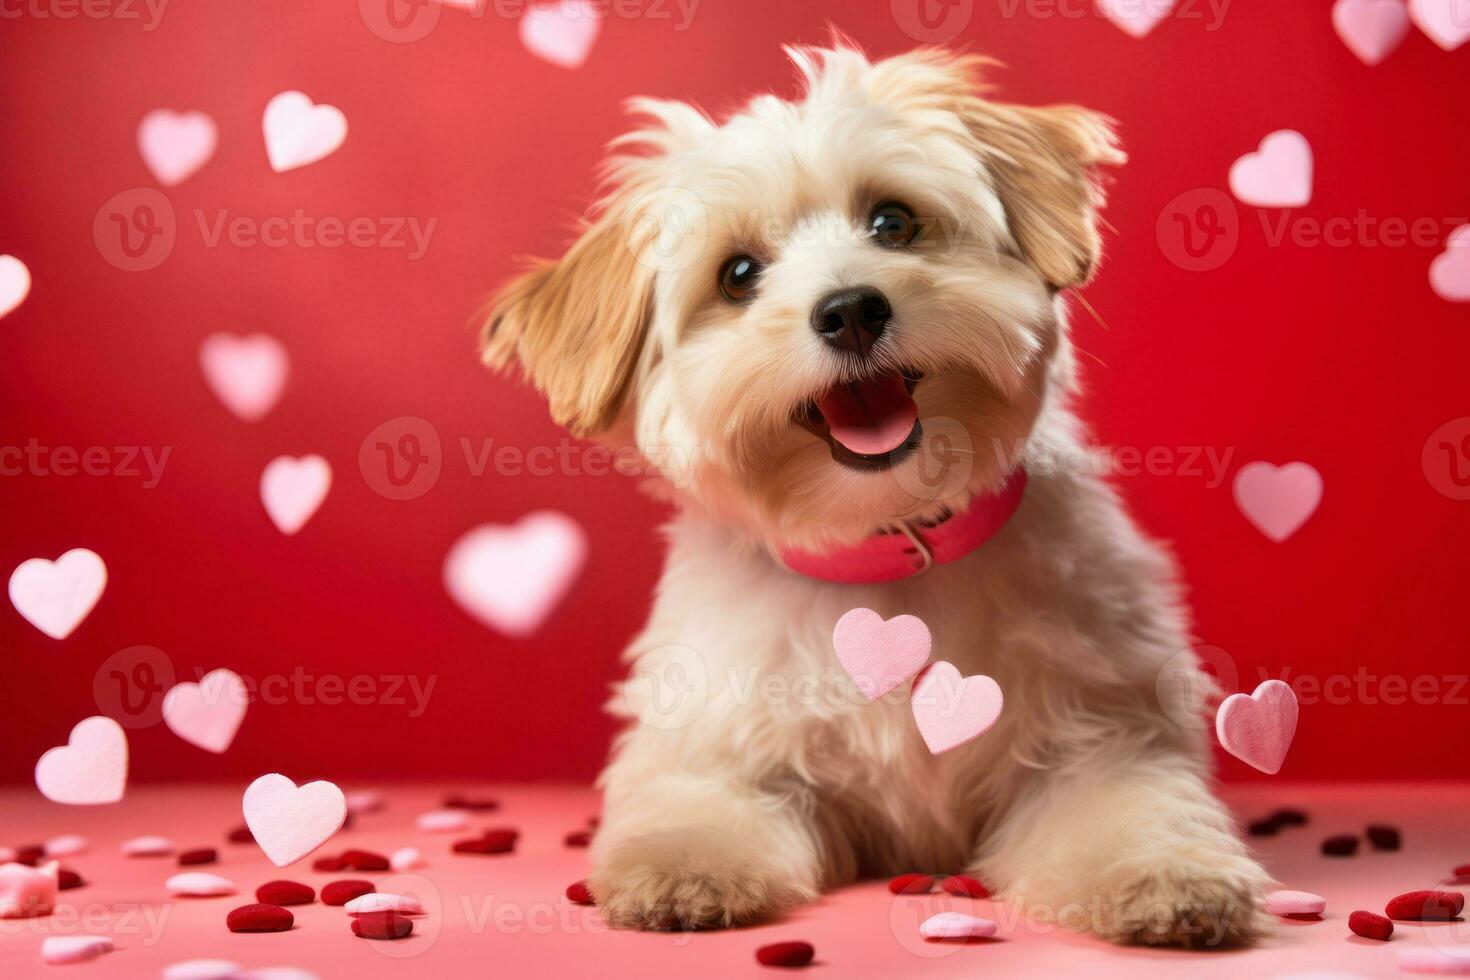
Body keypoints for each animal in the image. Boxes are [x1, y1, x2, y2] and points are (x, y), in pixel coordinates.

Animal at [482, 40, 1275, 952]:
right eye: (738, 274)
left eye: (893, 223)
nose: (852, 309)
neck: (887, 546)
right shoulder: (715, 744)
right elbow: (697, 806)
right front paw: (681, 871)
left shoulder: (1102, 737)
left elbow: (1128, 805)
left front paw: (1169, 877)